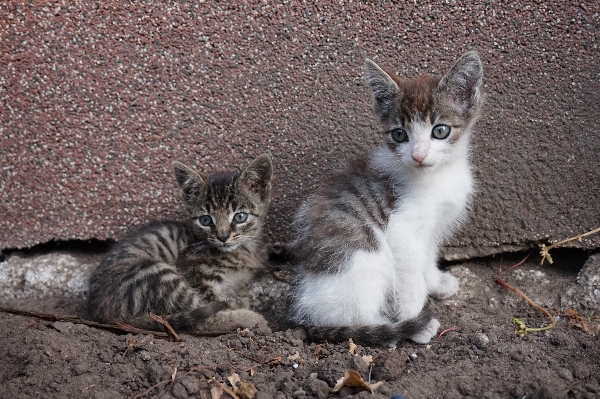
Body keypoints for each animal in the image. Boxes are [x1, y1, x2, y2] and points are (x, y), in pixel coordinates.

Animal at [85, 153, 274, 332]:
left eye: (240, 217)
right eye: (205, 220)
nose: (222, 237)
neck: (243, 250)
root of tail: (100, 312)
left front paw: (240, 300)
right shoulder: (196, 273)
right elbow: (212, 306)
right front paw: (239, 307)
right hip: (156, 274)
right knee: (200, 318)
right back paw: (251, 319)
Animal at [288, 50, 482, 346]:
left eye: (440, 131)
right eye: (399, 134)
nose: (418, 156)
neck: (439, 175)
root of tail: (309, 314)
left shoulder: (433, 227)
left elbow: (428, 256)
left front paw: (436, 282)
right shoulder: (402, 232)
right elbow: (410, 281)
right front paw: (416, 322)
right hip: (364, 261)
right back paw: (387, 329)